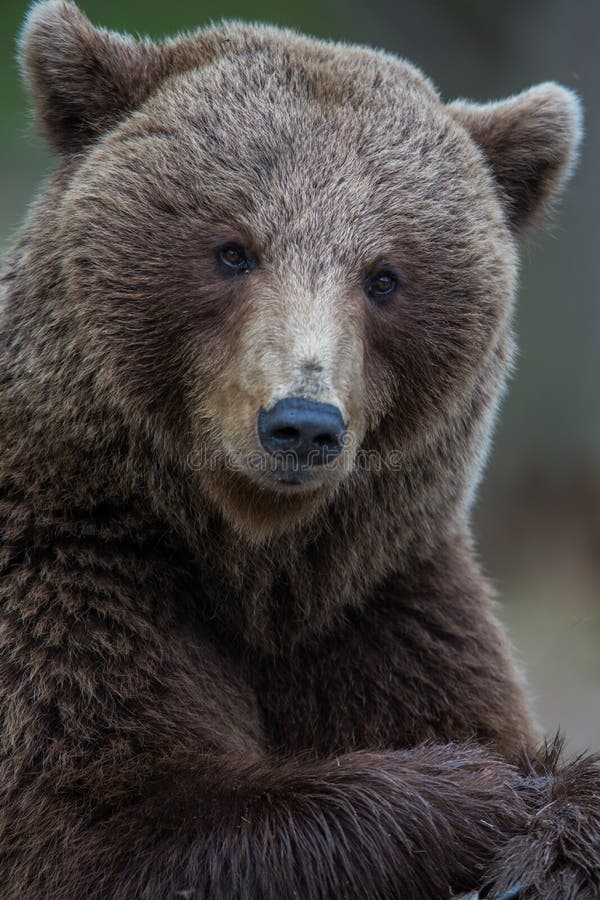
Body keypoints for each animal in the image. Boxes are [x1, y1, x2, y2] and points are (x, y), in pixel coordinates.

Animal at [1, 0, 600, 896]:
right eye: (232, 249)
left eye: (384, 276)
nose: (303, 424)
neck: (257, 561)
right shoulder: (69, 568)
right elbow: (110, 829)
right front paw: (486, 793)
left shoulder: (382, 604)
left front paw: (551, 819)